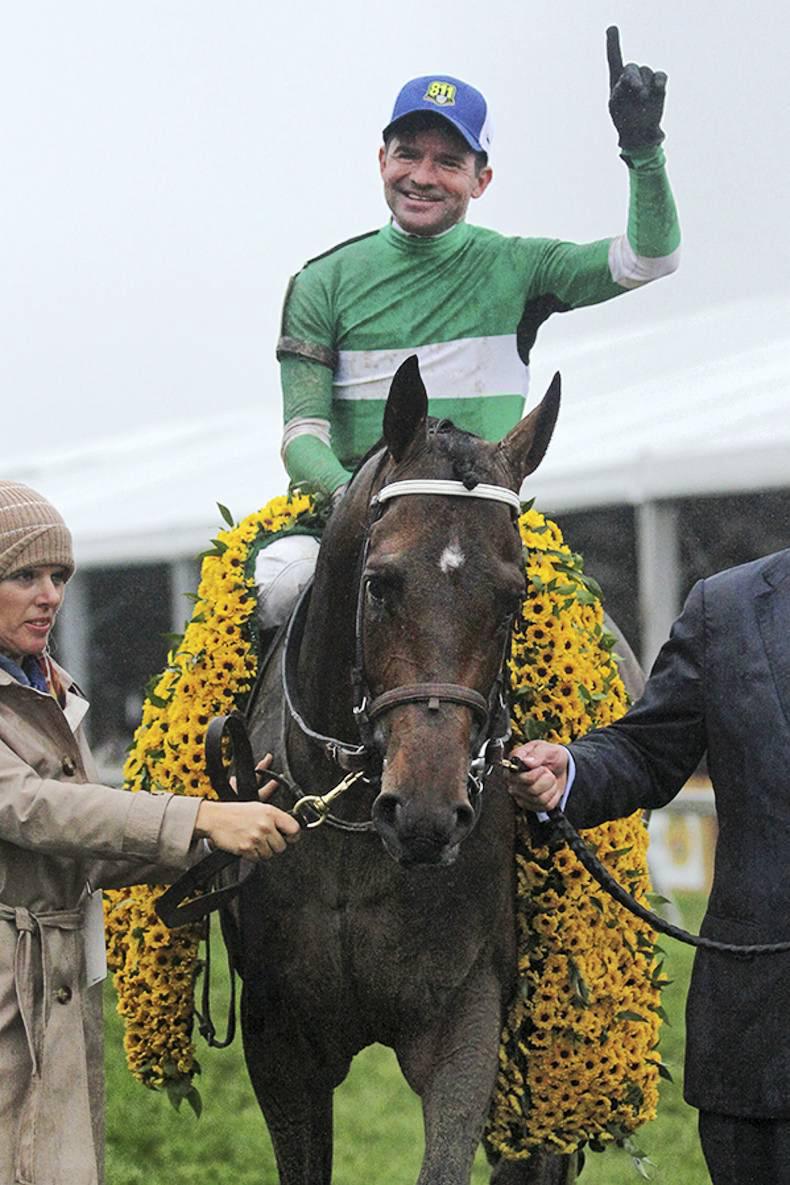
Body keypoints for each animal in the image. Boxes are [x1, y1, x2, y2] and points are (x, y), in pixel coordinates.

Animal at [237, 354, 571, 1185]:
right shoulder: (277, 1038)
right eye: (380, 582)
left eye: (514, 595)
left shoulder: (465, 1015)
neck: (354, 840)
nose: (425, 814)